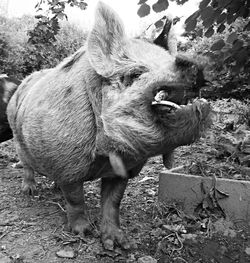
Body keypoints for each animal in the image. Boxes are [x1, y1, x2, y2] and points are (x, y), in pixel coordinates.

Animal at [6, 2, 211, 252]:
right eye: (135, 73)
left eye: (168, 59)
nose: (195, 63)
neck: (106, 155)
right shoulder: (68, 164)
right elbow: (75, 198)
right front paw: (83, 233)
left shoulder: (123, 170)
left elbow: (113, 202)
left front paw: (120, 245)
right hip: (16, 136)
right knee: (26, 166)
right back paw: (29, 192)